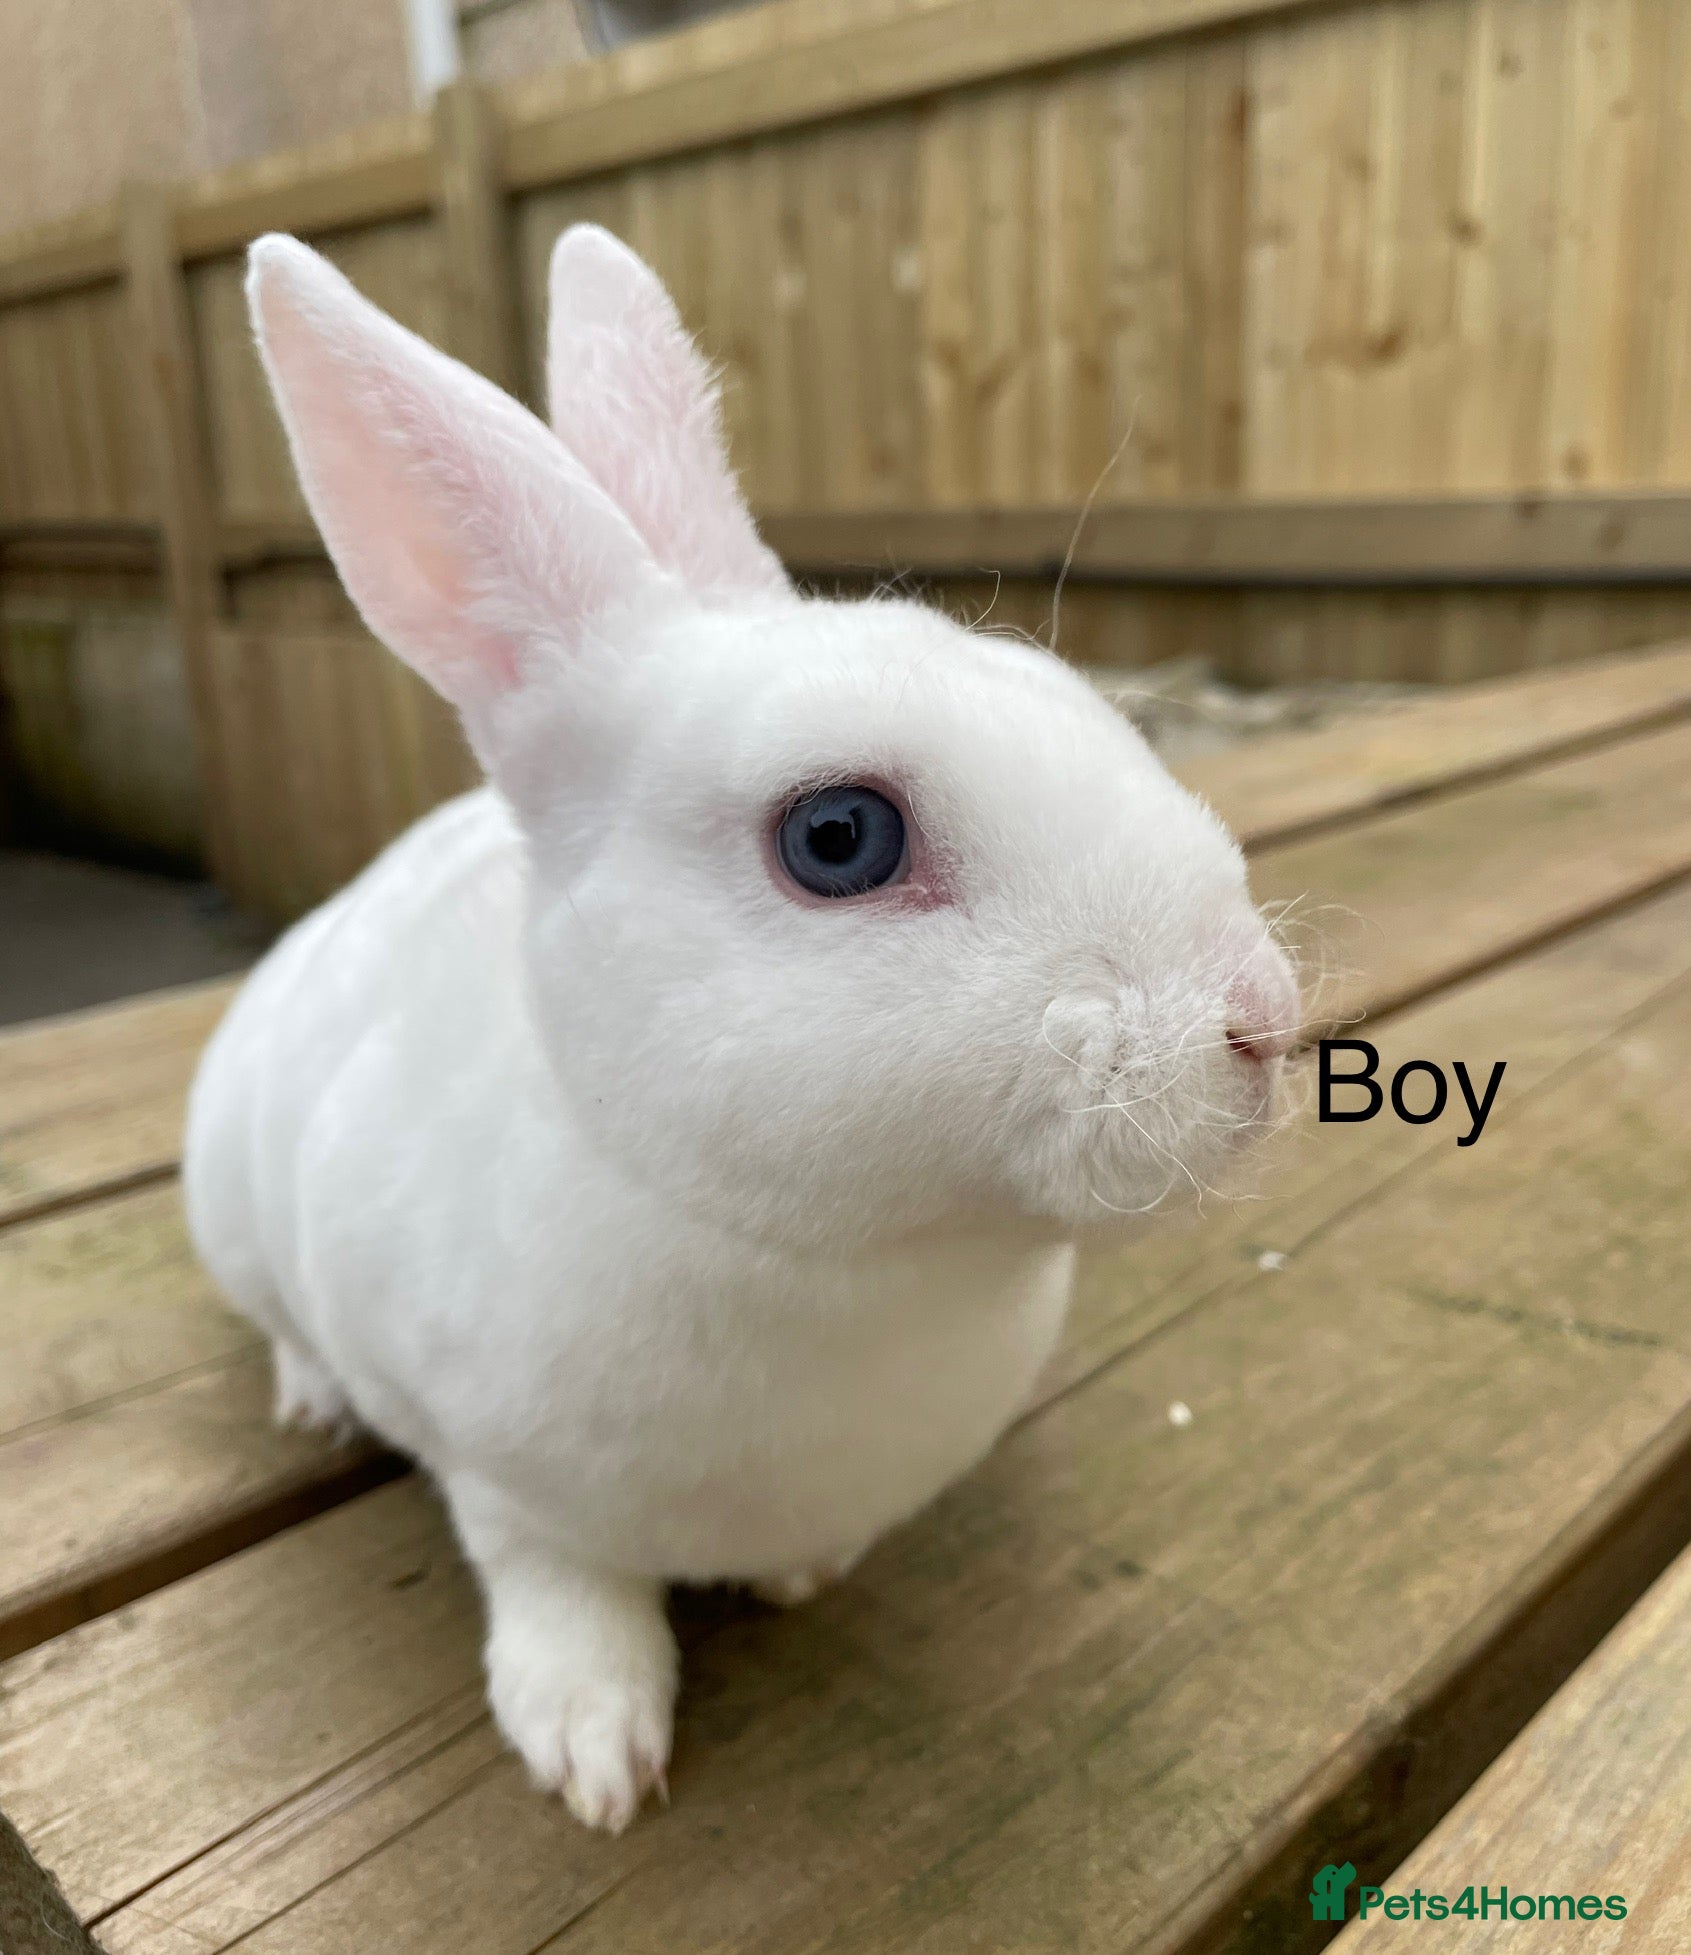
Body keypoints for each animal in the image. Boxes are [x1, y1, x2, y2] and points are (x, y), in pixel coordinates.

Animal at [182, 224, 1300, 1835]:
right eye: (838, 836)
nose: (1262, 1019)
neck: (830, 1265)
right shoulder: (507, 1487)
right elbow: (554, 1583)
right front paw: (591, 1750)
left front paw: (799, 1573)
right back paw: (316, 1400)